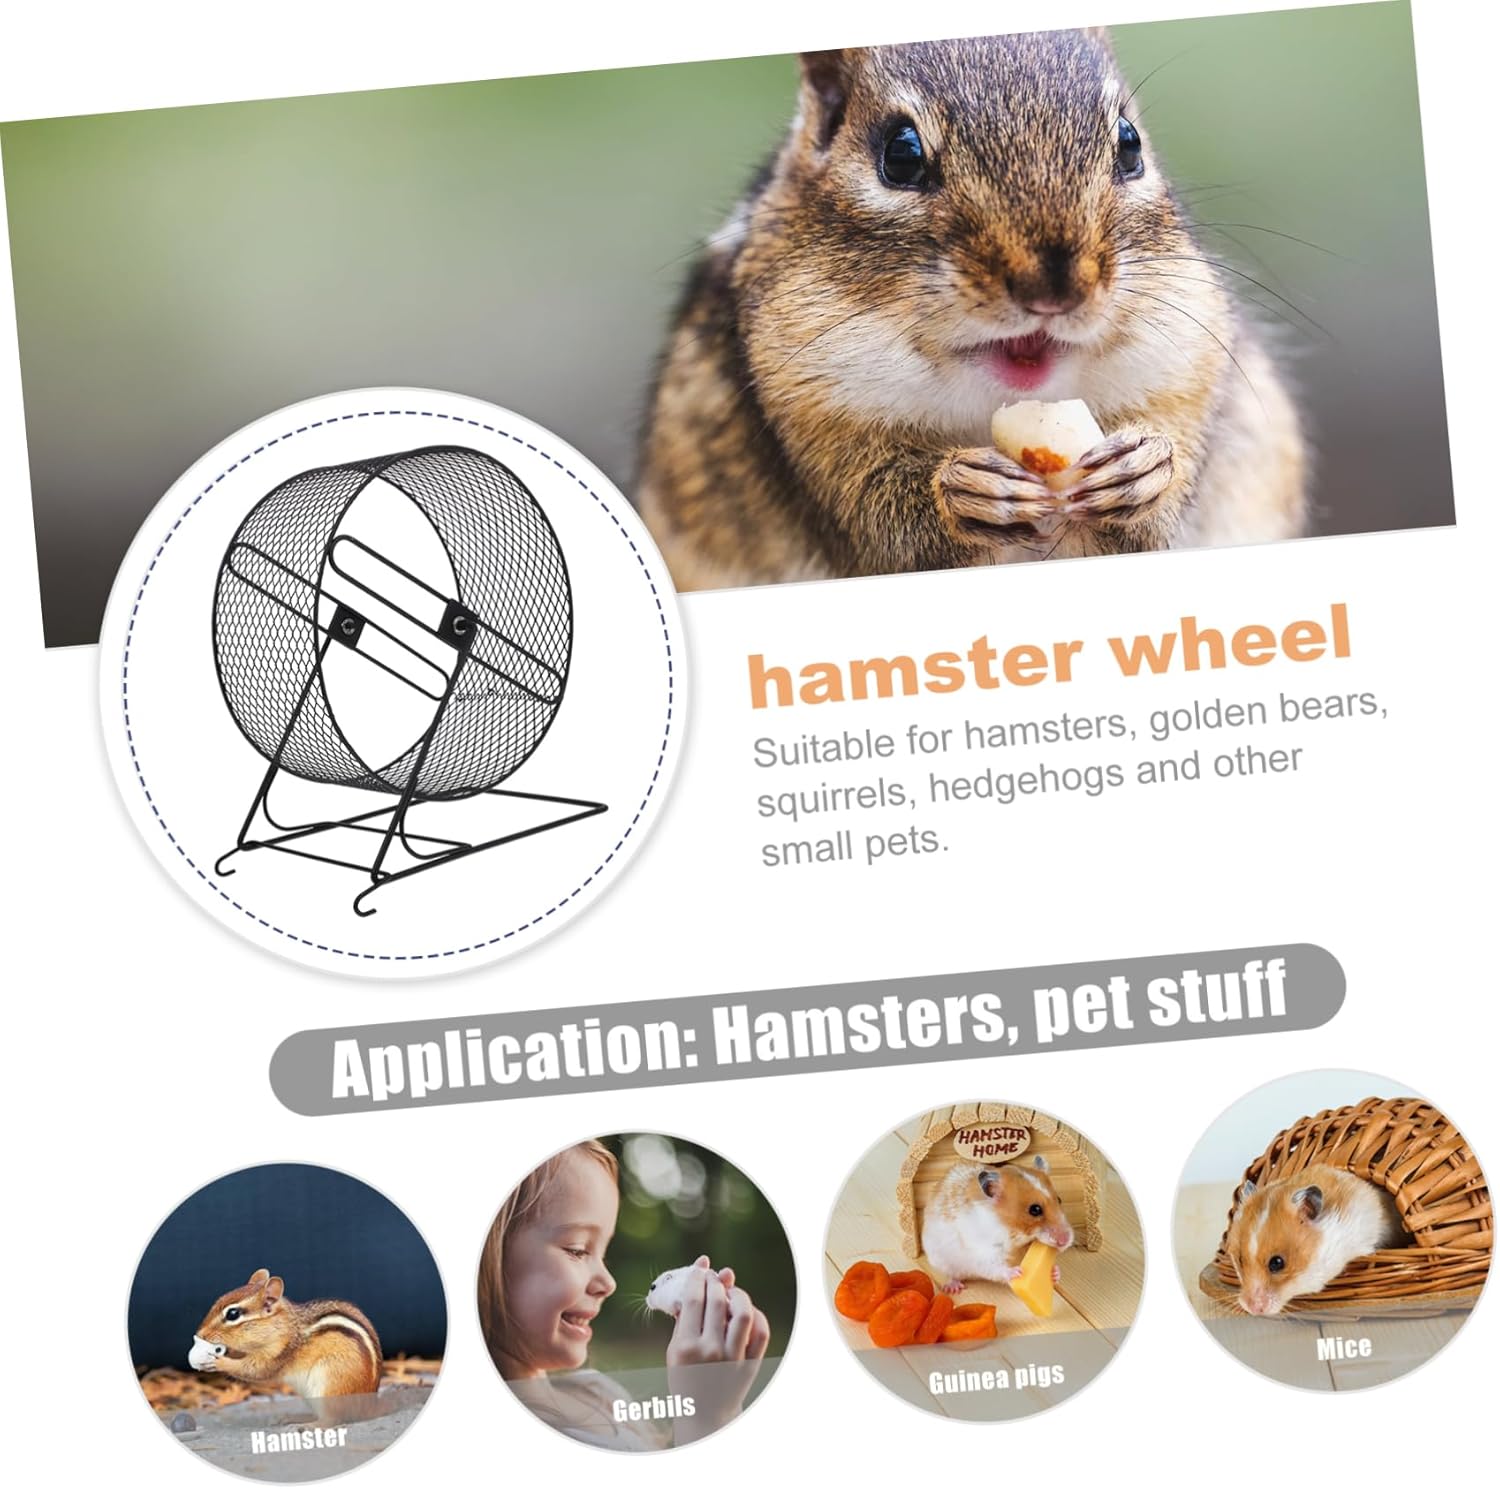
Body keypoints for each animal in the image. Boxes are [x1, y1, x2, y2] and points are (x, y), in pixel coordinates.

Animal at [188, 1268, 383, 1419]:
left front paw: (219, 1362)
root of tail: (369, 1407)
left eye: (233, 1314)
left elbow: (255, 1371)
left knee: (333, 1420)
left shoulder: (279, 1352)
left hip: (330, 1385)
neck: (285, 1326)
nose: (200, 1334)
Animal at [637, 32, 1306, 587]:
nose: (1053, 288)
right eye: (900, 155)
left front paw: (1146, 468)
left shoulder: (1187, 365)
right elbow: (880, 518)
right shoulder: (805, 408)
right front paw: (963, 491)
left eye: (1129, 145)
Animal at [921, 1157, 1076, 1293]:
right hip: (940, 1260)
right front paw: (1017, 1272)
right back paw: (954, 1288)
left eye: (1059, 1199)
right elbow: (996, 1267)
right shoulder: (984, 1251)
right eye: (1035, 1209)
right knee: (949, 1275)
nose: (1065, 1241)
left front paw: (1055, 1272)